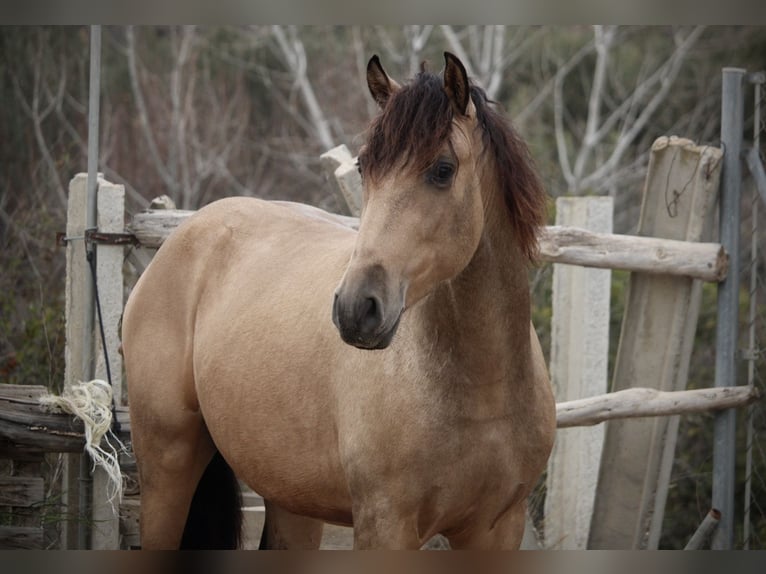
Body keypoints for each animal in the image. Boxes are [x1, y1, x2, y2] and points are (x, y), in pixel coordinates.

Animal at [124, 51, 560, 552]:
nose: (356, 309)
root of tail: (181, 238)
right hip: (168, 466)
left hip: (291, 501)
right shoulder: (385, 525)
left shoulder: (497, 530)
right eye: (363, 168)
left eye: (443, 170)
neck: (481, 394)